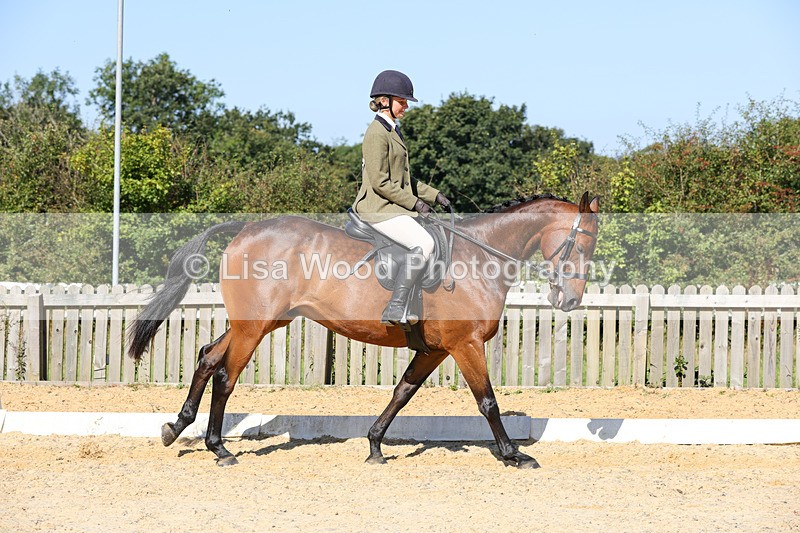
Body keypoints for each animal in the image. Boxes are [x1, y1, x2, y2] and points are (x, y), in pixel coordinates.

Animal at [128, 192, 600, 468]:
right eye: (582, 241)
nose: (570, 300)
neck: (478, 259)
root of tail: (245, 228)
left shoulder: (434, 349)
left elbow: (402, 393)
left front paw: (374, 447)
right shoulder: (464, 345)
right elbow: (488, 403)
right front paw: (512, 454)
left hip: (260, 321)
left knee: (208, 357)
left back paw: (176, 428)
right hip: (254, 327)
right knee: (226, 375)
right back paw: (219, 449)